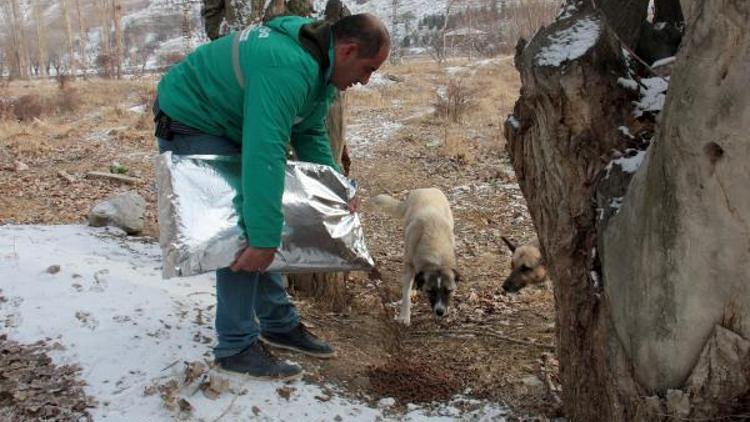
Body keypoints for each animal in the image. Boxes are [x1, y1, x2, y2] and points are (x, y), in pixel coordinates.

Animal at [374, 189, 462, 326]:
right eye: (431, 291)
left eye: (448, 291)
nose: (440, 312)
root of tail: (427, 189)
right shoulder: (409, 265)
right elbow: (405, 294)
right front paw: (404, 316)